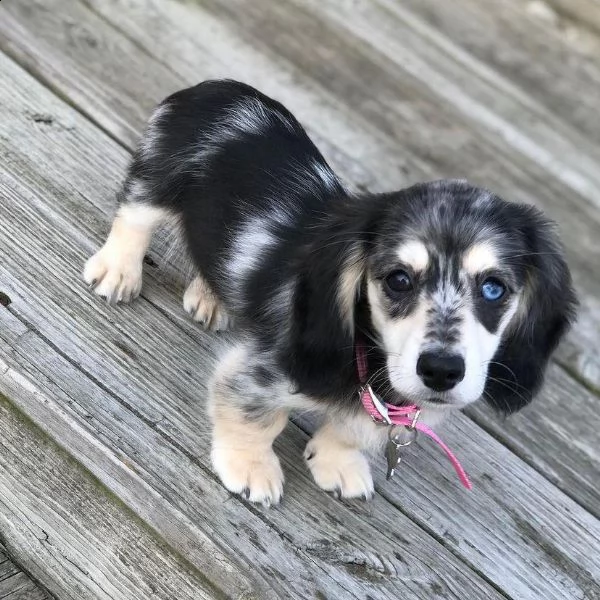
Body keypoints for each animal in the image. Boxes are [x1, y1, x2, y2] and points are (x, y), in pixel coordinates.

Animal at [84, 77, 576, 504]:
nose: (441, 371)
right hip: (158, 179)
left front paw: (339, 464)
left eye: (494, 289)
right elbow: (255, 416)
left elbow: (349, 430)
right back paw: (118, 270)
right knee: (134, 216)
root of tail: (216, 87)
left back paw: (210, 296)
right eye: (398, 279)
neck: (368, 360)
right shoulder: (261, 371)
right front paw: (250, 467)